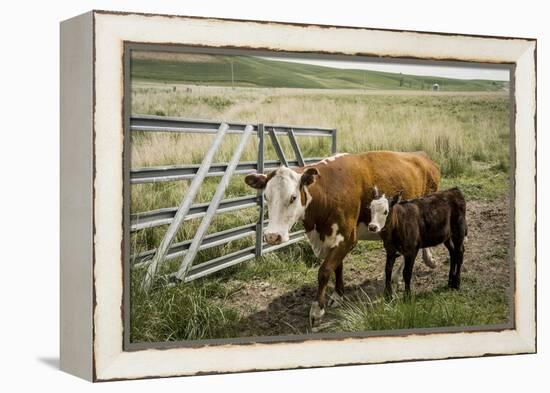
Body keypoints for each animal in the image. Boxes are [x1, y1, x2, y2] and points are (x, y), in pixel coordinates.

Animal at [245, 150, 440, 324]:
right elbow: (337, 267)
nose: (272, 236)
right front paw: (338, 295)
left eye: (293, 197)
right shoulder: (332, 239)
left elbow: (324, 271)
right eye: (266, 197)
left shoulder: (348, 238)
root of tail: (421, 155)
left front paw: (317, 310)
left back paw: (419, 264)